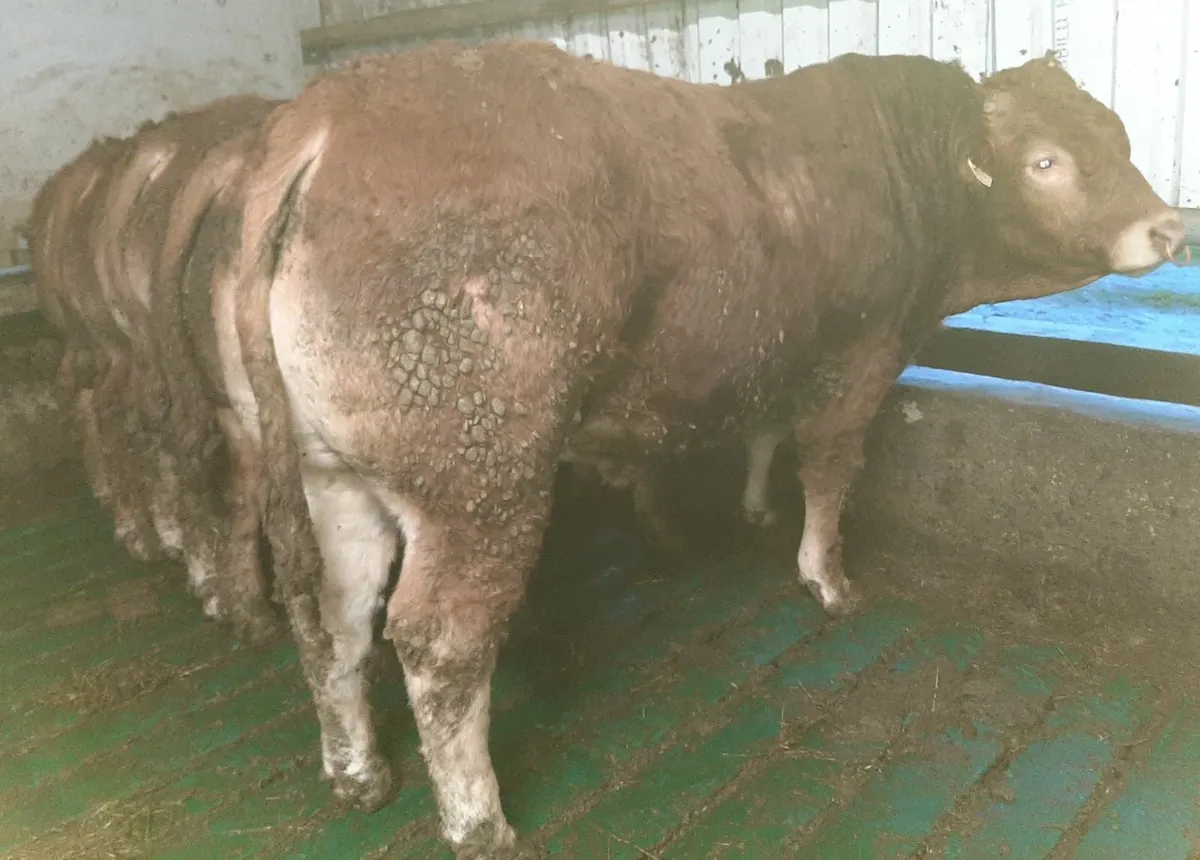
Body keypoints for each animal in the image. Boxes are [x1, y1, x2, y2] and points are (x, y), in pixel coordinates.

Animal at [221, 41, 1182, 857]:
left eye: (1120, 138)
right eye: (1047, 161)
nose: (1169, 229)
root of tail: (332, 111)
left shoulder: (777, 343)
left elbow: (765, 428)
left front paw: (753, 508)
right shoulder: (862, 351)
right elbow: (830, 464)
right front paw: (827, 579)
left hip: (331, 476)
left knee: (335, 614)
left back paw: (357, 771)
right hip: (479, 476)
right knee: (439, 641)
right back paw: (479, 820)